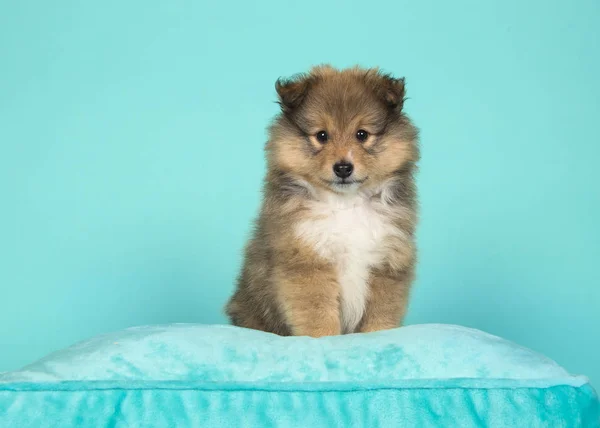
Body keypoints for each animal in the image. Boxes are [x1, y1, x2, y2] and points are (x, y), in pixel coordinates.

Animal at [227, 64, 420, 338]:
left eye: (362, 134)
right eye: (321, 135)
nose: (343, 168)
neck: (345, 204)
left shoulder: (388, 261)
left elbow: (381, 315)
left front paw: (377, 336)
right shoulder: (307, 261)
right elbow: (318, 316)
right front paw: (323, 339)